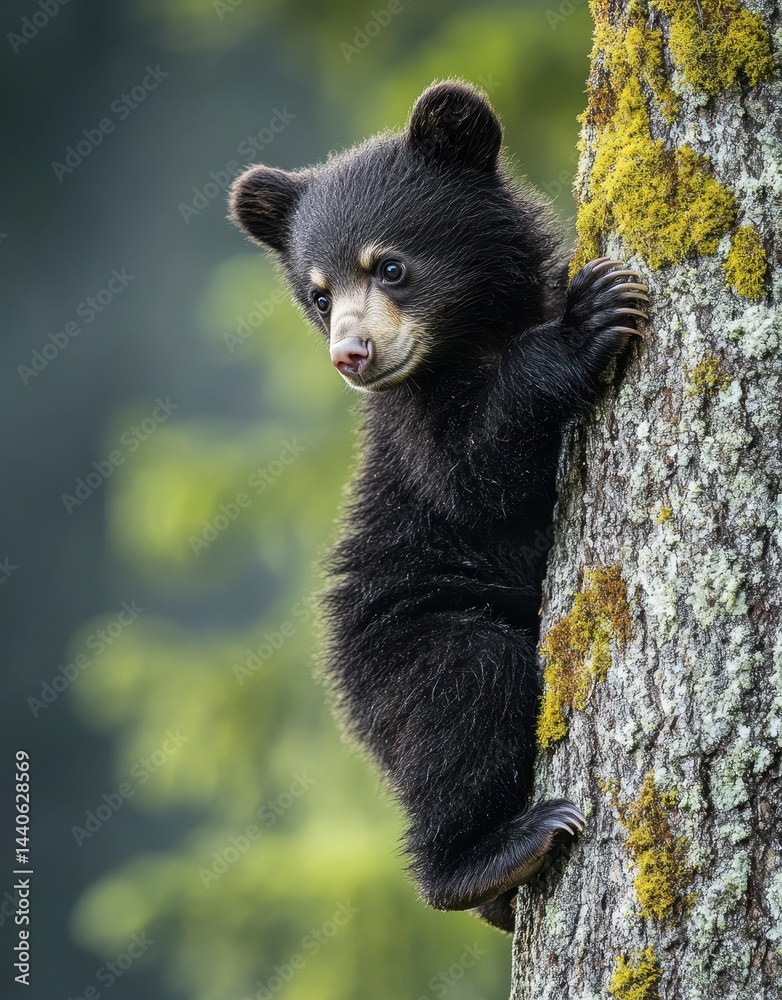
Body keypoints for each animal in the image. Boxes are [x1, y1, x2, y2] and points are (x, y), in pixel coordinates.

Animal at [229, 80, 647, 933]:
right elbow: (475, 473)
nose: (351, 355)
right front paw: (590, 319)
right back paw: (488, 858)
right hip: (403, 642)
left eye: (388, 265)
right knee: (467, 691)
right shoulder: (413, 428)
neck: (475, 336)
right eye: (319, 294)